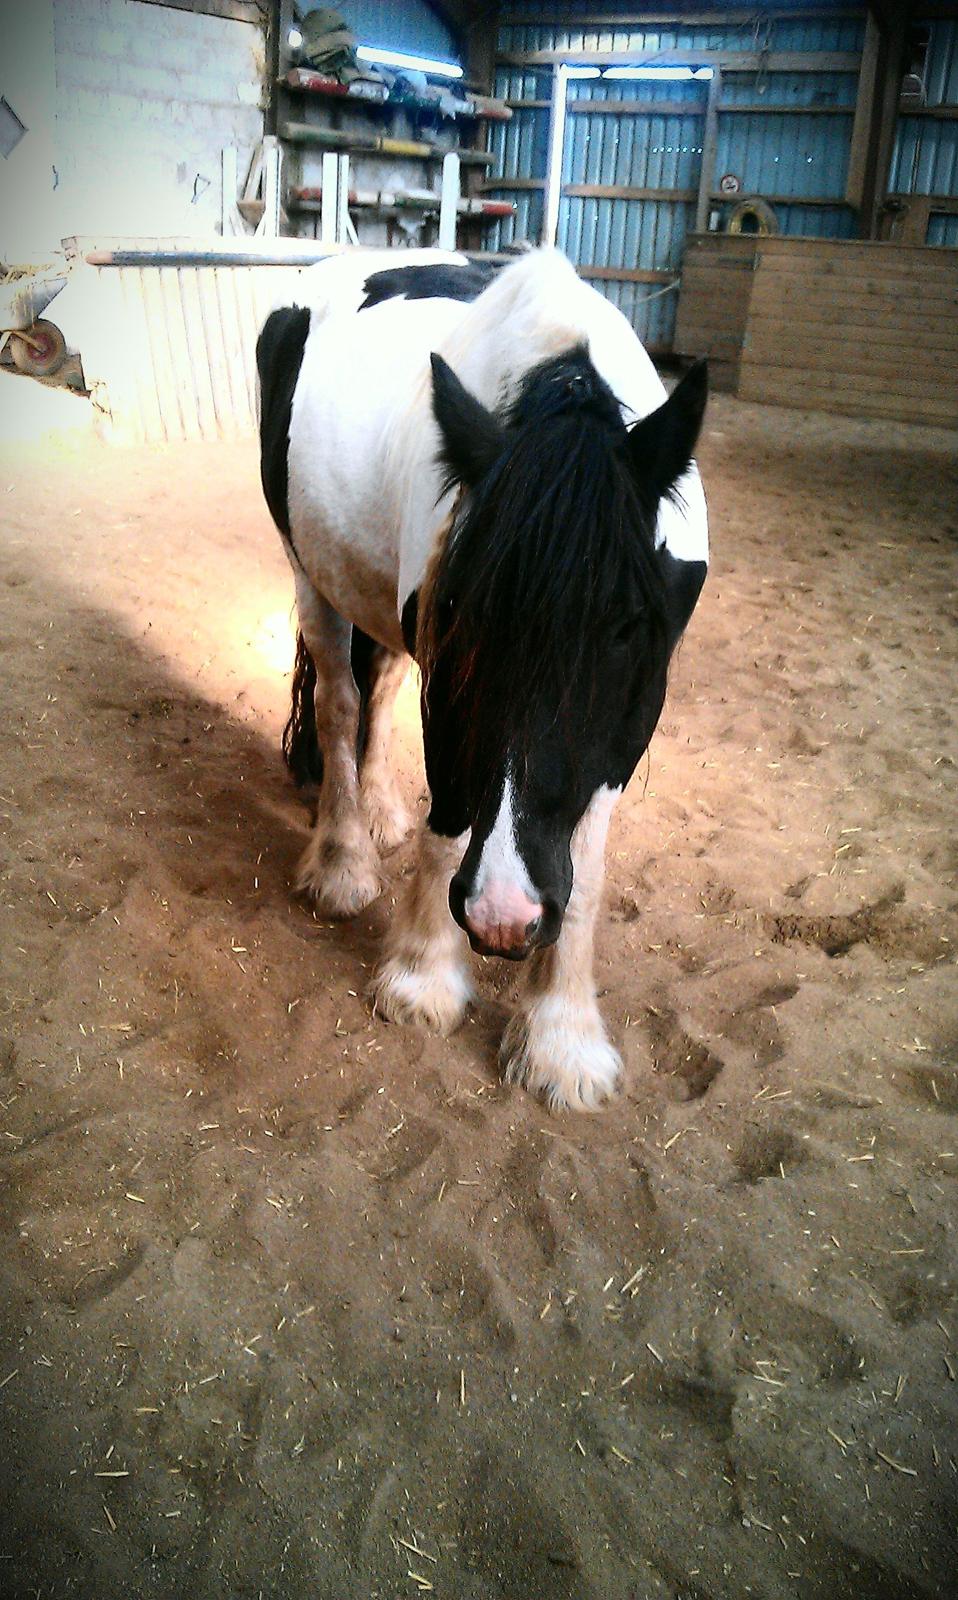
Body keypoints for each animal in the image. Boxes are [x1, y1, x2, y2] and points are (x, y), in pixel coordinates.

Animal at [259, 246, 706, 1113]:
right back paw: (344, 860)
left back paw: (381, 814)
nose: (505, 916)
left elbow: (587, 869)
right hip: (312, 573)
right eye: (468, 615)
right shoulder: (448, 675)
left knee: (380, 687)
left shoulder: (630, 716)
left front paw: (562, 1038)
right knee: (339, 704)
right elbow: (453, 815)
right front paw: (424, 976)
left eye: (623, 629)